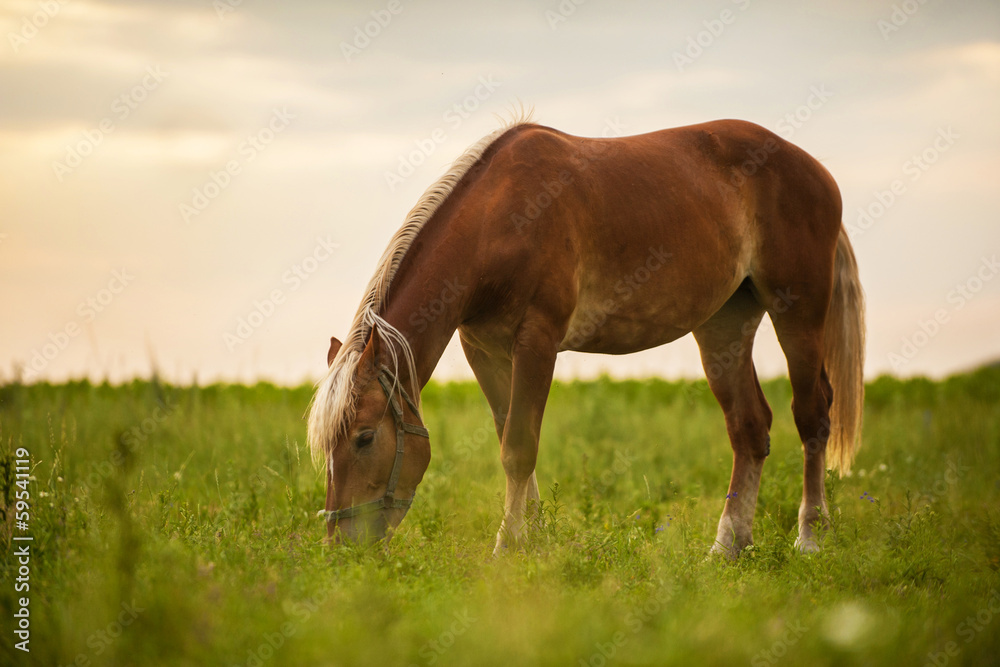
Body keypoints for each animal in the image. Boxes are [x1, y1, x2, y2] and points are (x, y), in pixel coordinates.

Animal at [308, 115, 864, 560]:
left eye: (363, 437)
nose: (339, 548)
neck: (502, 219)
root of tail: (816, 171)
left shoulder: (537, 341)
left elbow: (519, 447)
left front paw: (507, 548)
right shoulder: (484, 350)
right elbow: (509, 437)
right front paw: (534, 541)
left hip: (797, 312)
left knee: (813, 416)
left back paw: (809, 538)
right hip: (724, 325)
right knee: (749, 428)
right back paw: (727, 548)